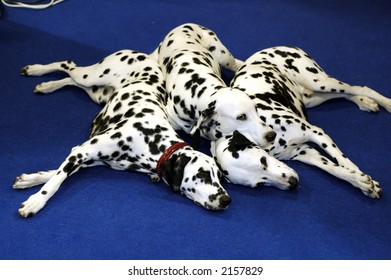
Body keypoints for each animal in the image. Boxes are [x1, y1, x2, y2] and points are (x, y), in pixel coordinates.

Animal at [13, 49, 231, 219]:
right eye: (202, 174)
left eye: (220, 177)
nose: (226, 199)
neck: (151, 140)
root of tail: (143, 54)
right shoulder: (81, 152)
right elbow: (56, 181)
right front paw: (35, 201)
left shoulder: (89, 159)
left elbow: (57, 172)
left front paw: (31, 179)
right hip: (91, 76)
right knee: (67, 64)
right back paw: (35, 70)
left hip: (95, 92)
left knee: (69, 79)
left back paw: (47, 85)